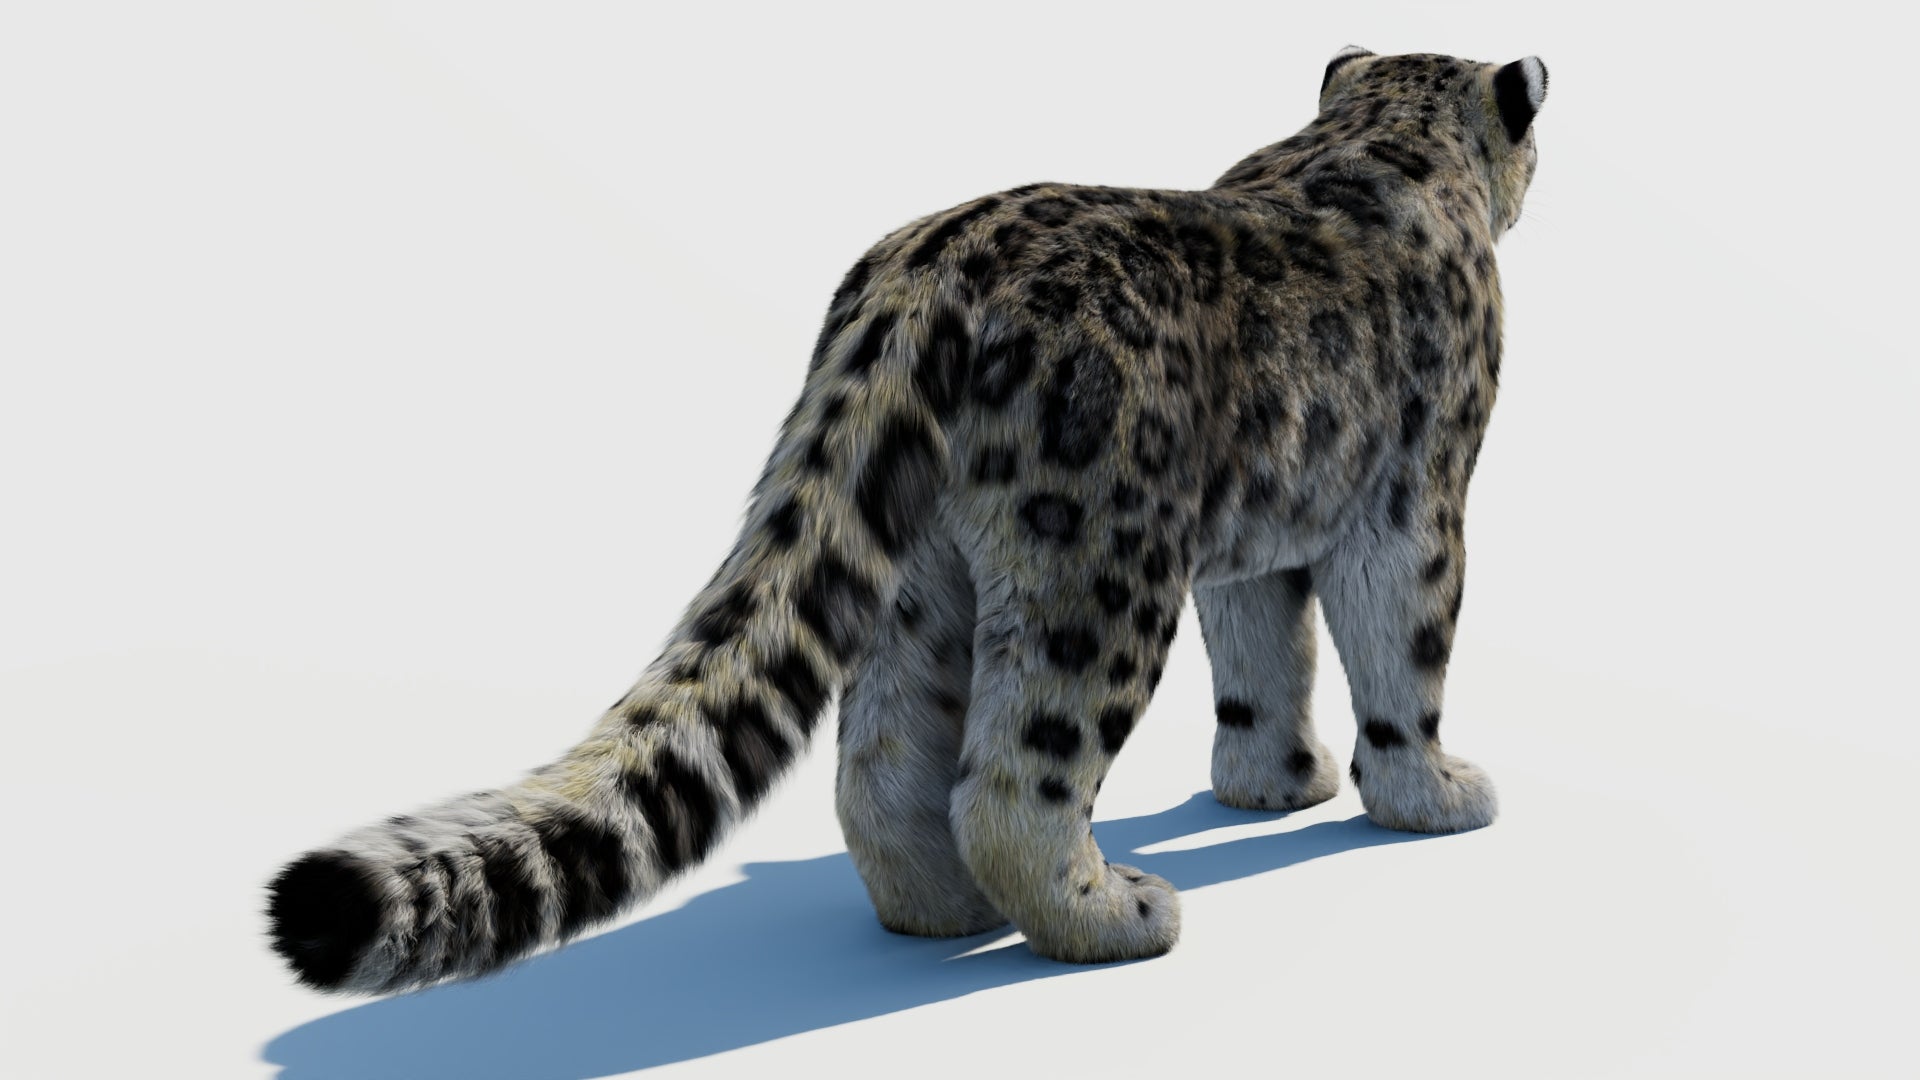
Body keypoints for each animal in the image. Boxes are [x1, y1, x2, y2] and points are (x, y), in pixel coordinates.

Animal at [268, 46, 1549, 993]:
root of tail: (916, 279)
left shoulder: (1257, 539)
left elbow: (1262, 660)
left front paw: (1275, 782)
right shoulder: (1419, 497)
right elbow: (1403, 650)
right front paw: (1434, 795)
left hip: (923, 572)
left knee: (881, 761)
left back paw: (941, 912)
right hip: (1099, 563)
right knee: (1021, 773)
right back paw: (1111, 913)